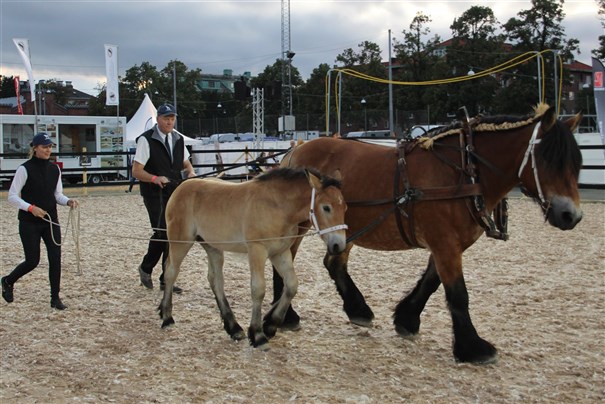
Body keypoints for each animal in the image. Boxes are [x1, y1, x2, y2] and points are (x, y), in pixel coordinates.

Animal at [158, 168, 346, 350]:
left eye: (344, 208)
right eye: (326, 207)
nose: (338, 246)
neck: (277, 206)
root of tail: (180, 188)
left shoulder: (280, 253)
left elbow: (292, 285)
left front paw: (270, 326)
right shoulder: (257, 250)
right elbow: (258, 289)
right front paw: (258, 335)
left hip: (213, 247)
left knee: (215, 280)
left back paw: (234, 328)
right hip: (180, 241)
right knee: (171, 272)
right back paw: (167, 317)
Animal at [274, 104, 580, 362]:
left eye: (575, 164)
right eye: (548, 159)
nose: (572, 216)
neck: (466, 172)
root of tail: (294, 151)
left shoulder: (448, 243)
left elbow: (431, 282)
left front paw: (407, 319)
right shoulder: (445, 243)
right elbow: (458, 294)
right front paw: (473, 347)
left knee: (334, 263)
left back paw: (357, 309)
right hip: (300, 226)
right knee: (284, 263)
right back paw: (287, 315)